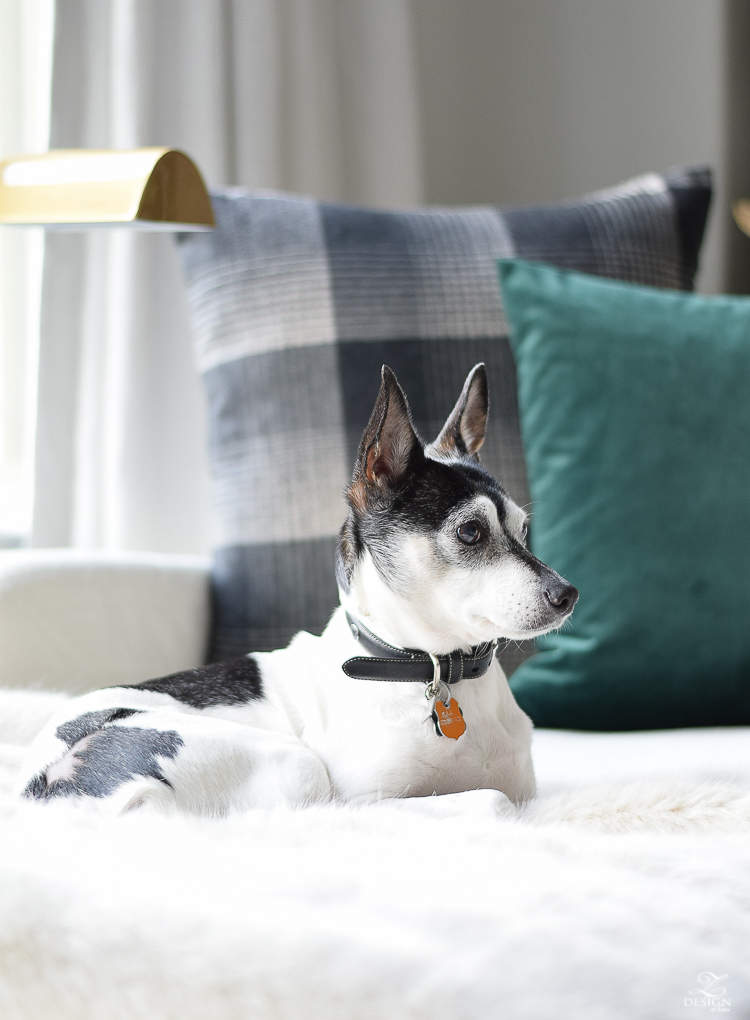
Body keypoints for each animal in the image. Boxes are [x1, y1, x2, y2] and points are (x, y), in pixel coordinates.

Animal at [19, 363, 579, 816]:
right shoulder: (367, 803)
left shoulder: (525, 789)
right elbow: (492, 799)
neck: (435, 670)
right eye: (470, 532)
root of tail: (42, 780)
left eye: (523, 531)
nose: (568, 594)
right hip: (297, 771)